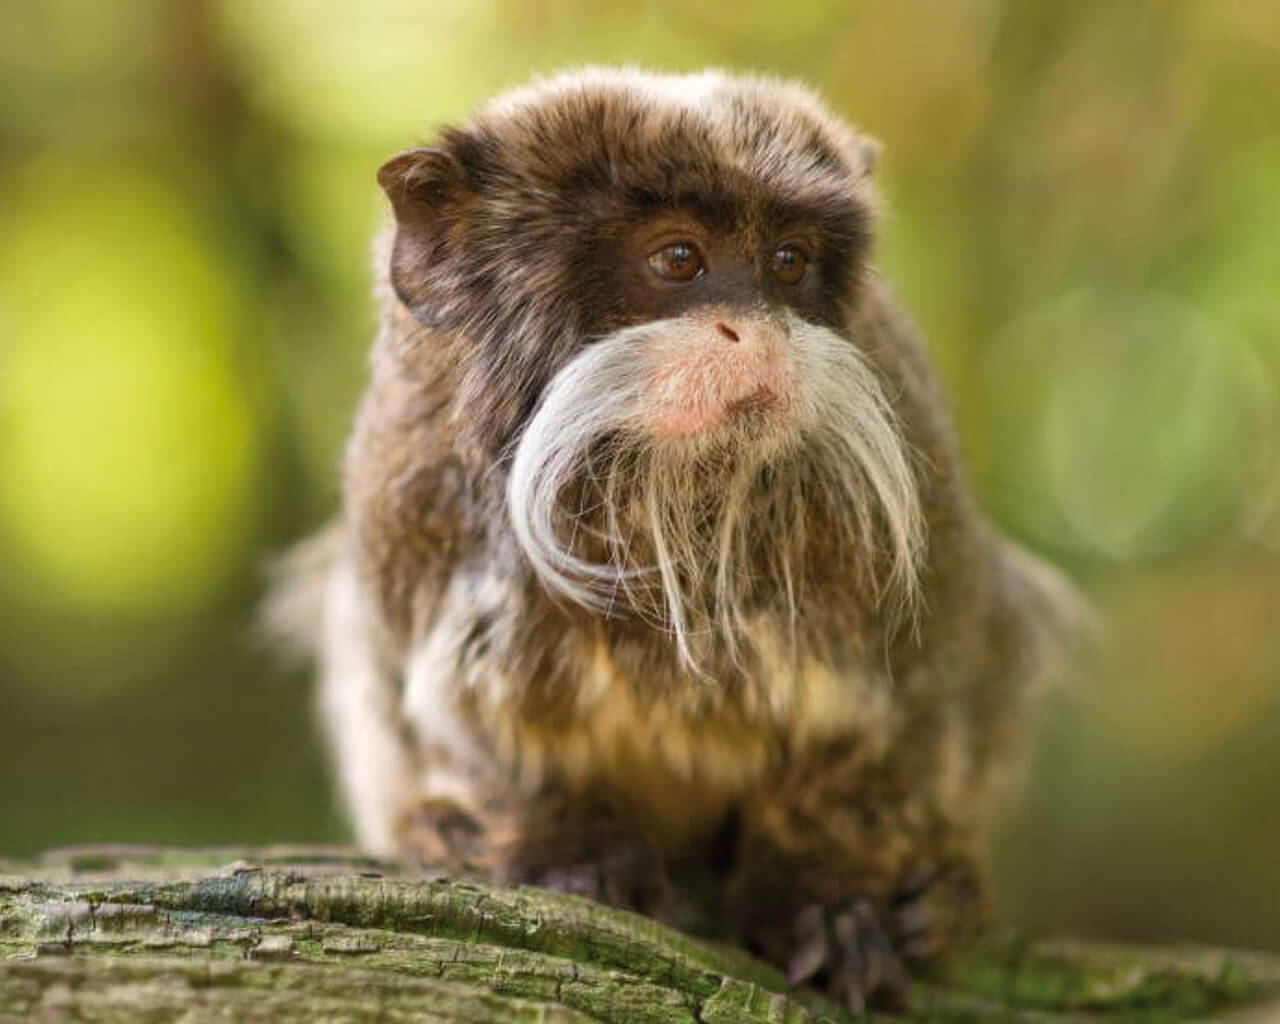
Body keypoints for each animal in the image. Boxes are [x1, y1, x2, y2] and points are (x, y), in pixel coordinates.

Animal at [268, 68, 1082, 1012]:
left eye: (788, 263)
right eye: (679, 260)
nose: (754, 330)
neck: (657, 494)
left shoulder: (918, 498)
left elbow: (895, 730)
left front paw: (830, 905)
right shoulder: (410, 498)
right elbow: (471, 732)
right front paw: (567, 852)